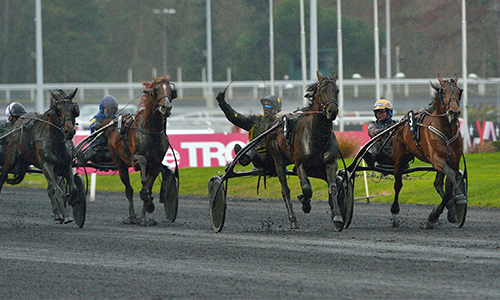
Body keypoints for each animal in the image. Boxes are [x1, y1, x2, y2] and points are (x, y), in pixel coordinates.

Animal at [0, 88, 80, 224]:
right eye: (58, 109)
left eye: (73, 108)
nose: (69, 131)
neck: (55, 139)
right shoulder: (46, 165)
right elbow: (57, 190)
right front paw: (67, 216)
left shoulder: (66, 165)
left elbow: (73, 189)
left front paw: (70, 202)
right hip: (9, 160)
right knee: (2, 177)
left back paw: (58, 213)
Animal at [104, 74, 177, 225]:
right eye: (156, 90)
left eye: (170, 90)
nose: (166, 107)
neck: (151, 130)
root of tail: (111, 128)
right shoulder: (135, 159)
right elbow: (142, 165)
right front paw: (146, 199)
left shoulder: (155, 164)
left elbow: (149, 186)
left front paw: (146, 210)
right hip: (119, 163)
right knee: (128, 190)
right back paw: (132, 217)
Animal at [266, 72, 344, 230]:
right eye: (322, 90)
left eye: (337, 91)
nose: (332, 111)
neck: (319, 136)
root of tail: (275, 123)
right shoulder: (300, 164)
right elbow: (307, 188)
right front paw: (304, 202)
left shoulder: (330, 163)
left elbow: (332, 186)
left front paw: (337, 216)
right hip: (279, 162)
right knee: (285, 190)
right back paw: (293, 219)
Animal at [392, 76, 466, 229]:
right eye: (443, 91)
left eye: (459, 91)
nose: (454, 112)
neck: (446, 131)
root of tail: (402, 122)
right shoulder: (437, 159)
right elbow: (451, 176)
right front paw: (459, 196)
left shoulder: (453, 161)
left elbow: (449, 185)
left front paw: (438, 215)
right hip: (399, 156)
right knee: (398, 183)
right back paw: (395, 211)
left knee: (437, 184)